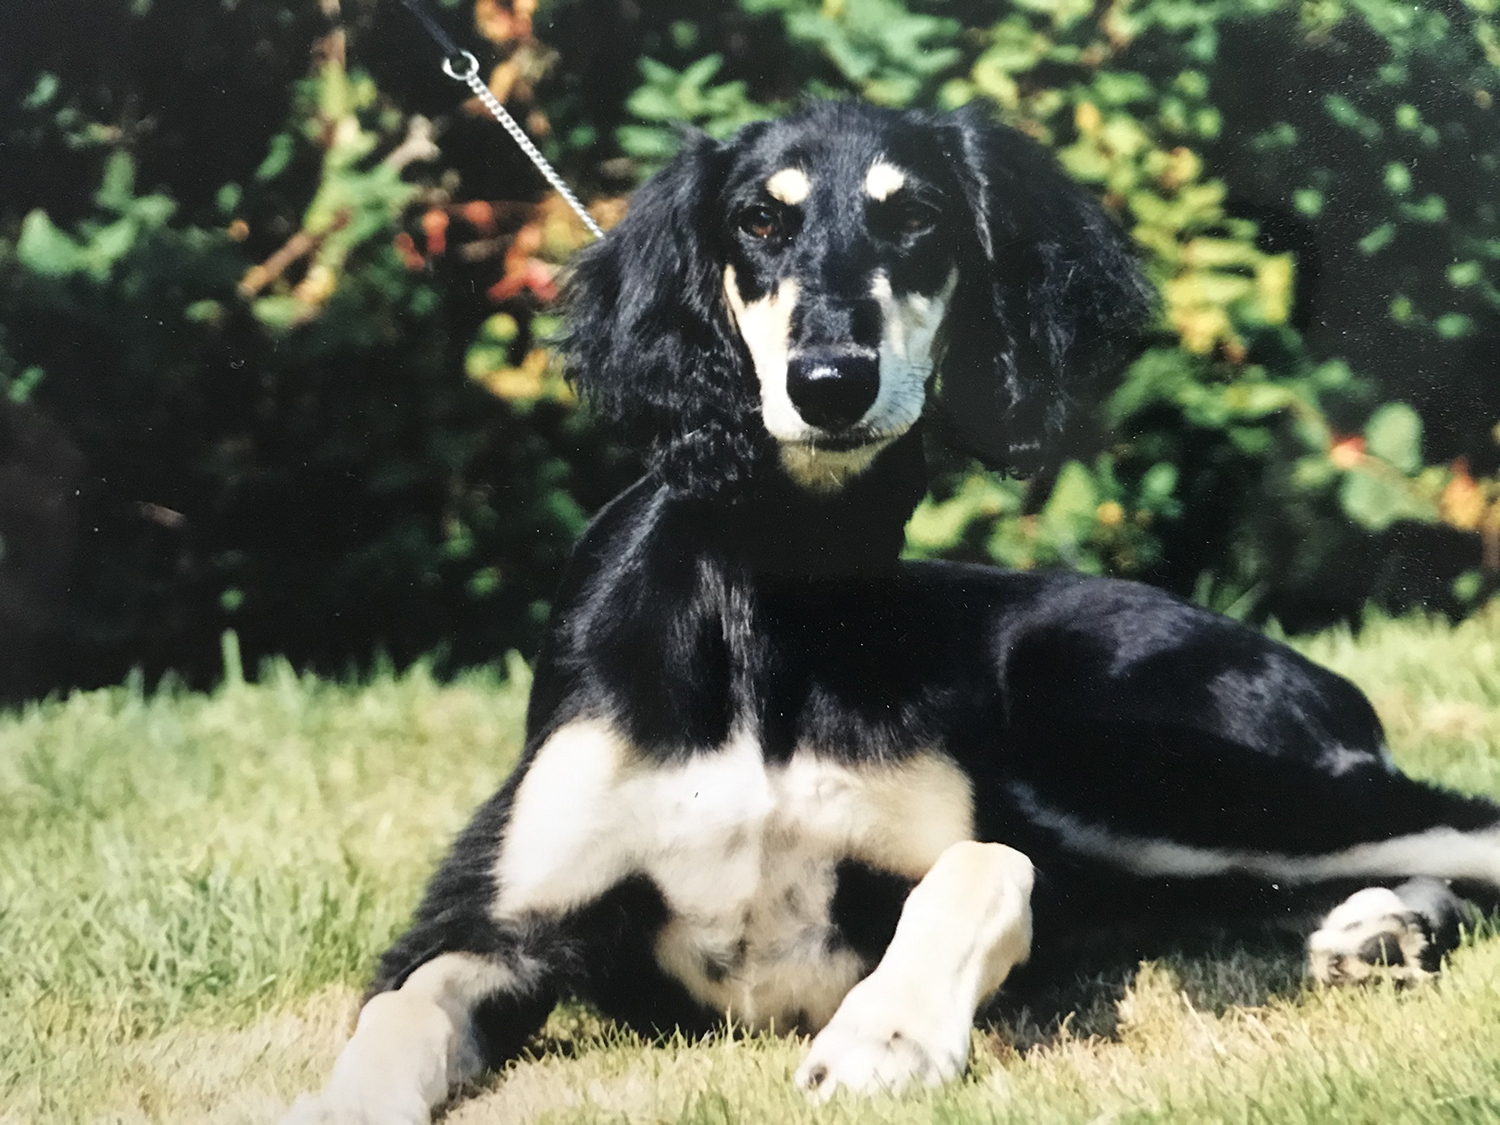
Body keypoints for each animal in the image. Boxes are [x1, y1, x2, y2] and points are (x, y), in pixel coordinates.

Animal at [283, 101, 1500, 1122]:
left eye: (915, 215)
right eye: (757, 220)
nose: (830, 382)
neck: (783, 591)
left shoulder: (986, 869)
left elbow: (988, 866)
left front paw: (889, 1034)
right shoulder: (493, 918)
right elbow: (401, 1011)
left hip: (1143, 768)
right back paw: (1384, 927)